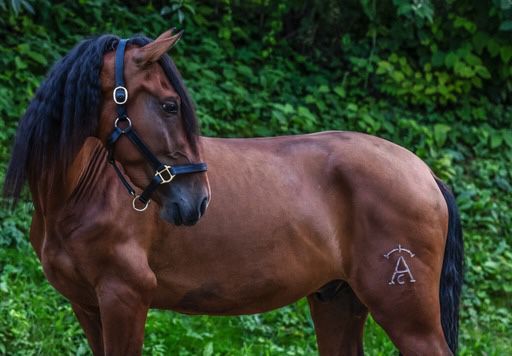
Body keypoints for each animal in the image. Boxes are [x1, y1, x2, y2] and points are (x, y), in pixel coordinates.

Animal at [2, 30, 464, 356]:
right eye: (170, 105)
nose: (198, 201)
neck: (80, 191)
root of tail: (425, 173)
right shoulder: (87, 305)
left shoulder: (124, 298)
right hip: (336, 301)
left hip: (407, 315)